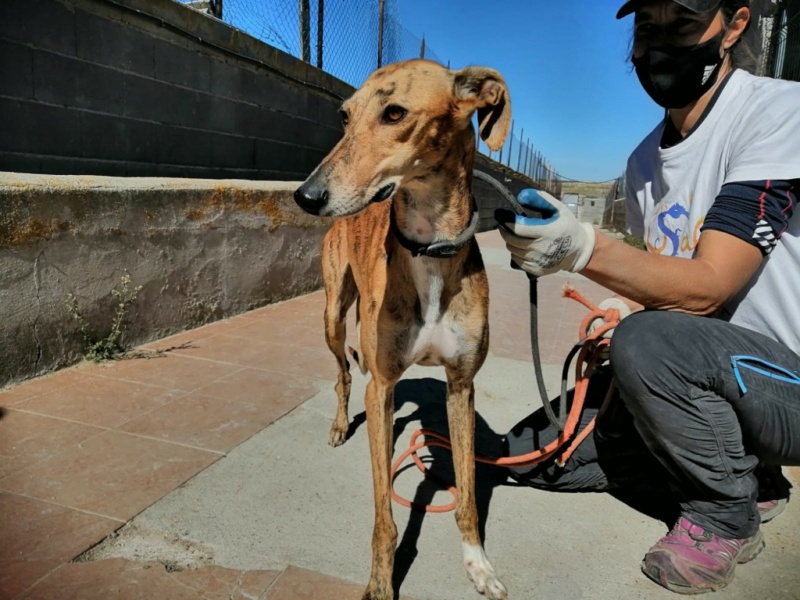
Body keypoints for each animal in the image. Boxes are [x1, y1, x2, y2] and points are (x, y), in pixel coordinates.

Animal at [296, 57, 512, 600]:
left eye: (394, 113)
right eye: (344, 116)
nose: (306, 196)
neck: (429, 249)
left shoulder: (461, 386)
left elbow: (467, 495)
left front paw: (478, 564)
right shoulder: (384, 379)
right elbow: (384, 516)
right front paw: (381, 579)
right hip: (334, 316)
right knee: (344, 375)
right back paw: (340, 425)